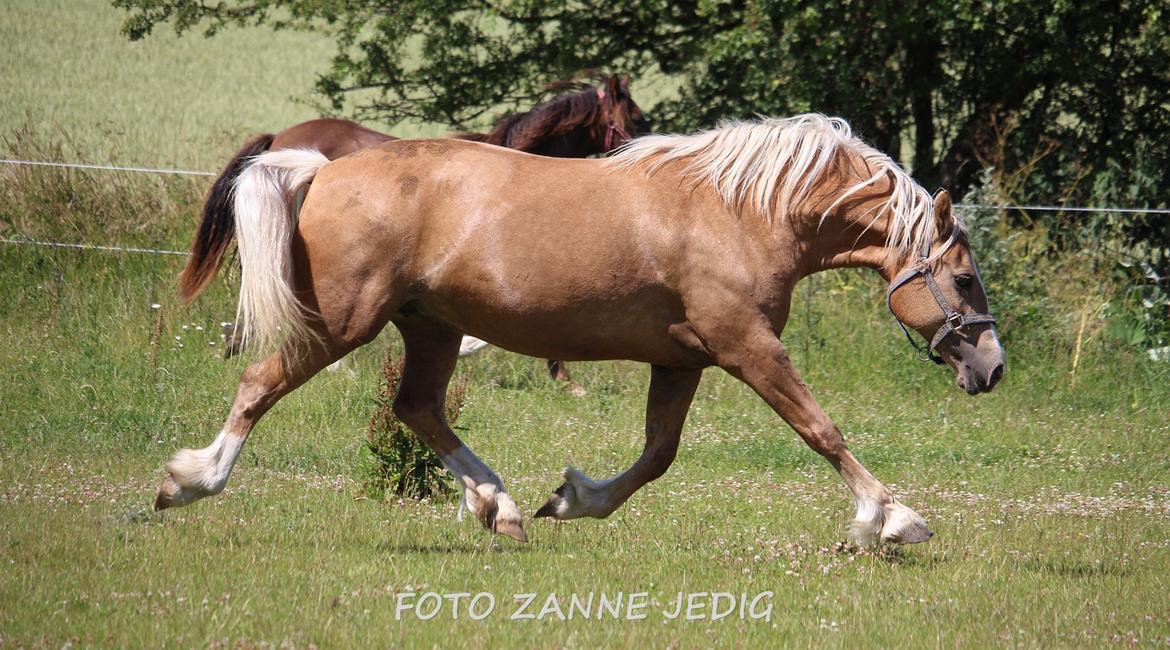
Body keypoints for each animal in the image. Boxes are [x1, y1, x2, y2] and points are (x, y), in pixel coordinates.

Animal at [155, 113, 1006, 544]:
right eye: (965, 279)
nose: (993, 369)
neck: (740, 211)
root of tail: (320, 165)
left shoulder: (685, 359)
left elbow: (656, 457)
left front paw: (570, 500)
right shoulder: (746, 346)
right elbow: (821, 429)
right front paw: (889, 521)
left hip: (428, 328)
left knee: (418, 408)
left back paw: (498, 509)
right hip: (344, 321)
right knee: (259, 382)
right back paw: (189, 482)